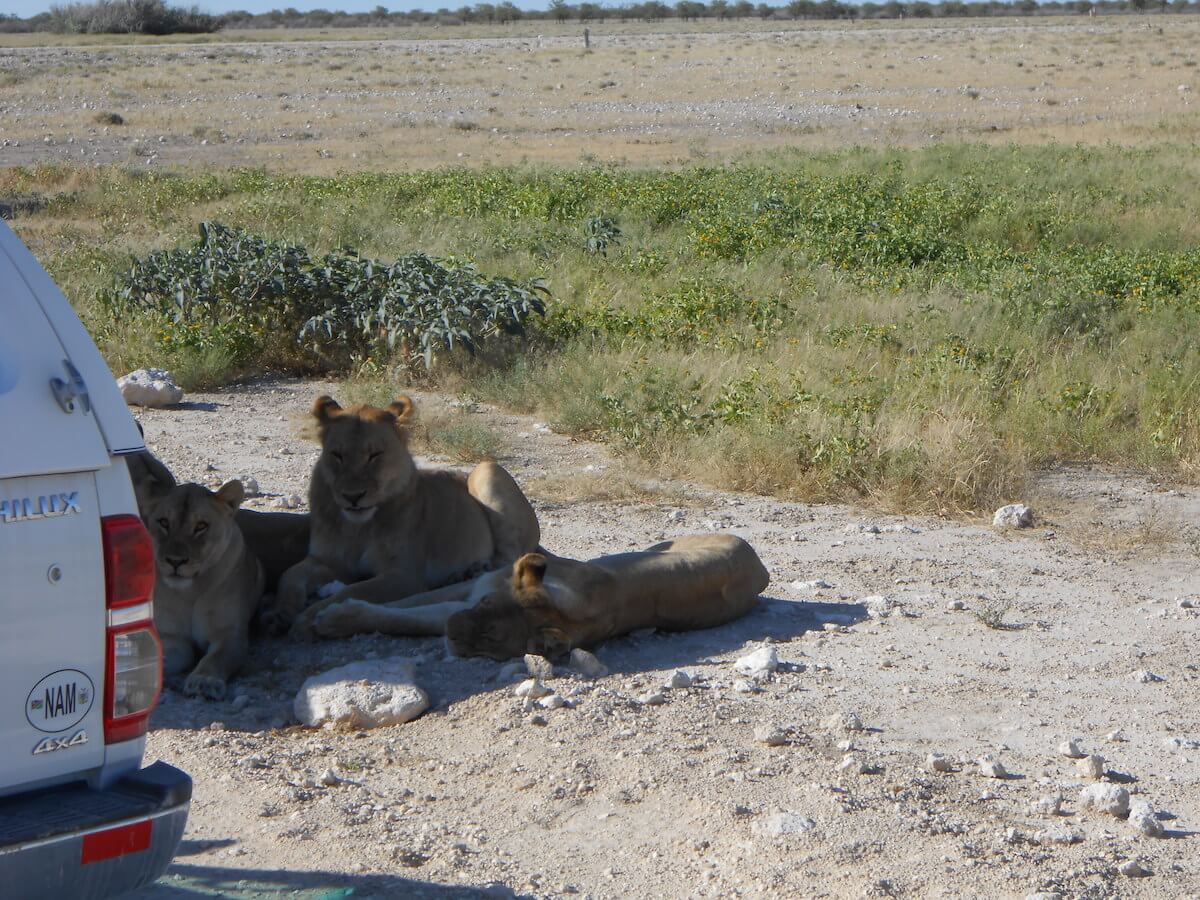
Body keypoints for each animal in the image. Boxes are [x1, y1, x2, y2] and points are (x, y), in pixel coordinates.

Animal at [150, 482, 262, 700]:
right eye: (164, 522)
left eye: (201, 526)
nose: (175, 561)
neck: (190, 591)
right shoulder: (173, 638)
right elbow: (161, 657)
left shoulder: (230, 634)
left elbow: (215, 658)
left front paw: (204, 682)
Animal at [270, 396, 542, 643]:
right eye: (337, 455)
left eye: (375, 455)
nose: (352, 496)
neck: (357, 529)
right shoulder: (327, 561)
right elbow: (289, 575)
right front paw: (281, 613)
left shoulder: (404, 576)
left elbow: (350, 591)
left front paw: (307, 620)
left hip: (485, 470)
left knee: (508, 557)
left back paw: (470, 572)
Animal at [304, 535, 763, 662]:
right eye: (484, 608)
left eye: (490, 643)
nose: (453, 633)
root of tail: (760, 566)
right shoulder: (475, 589)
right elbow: (409, 601)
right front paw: (326, 604)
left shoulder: (462, 600)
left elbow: (403, 615)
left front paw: (333, 617)